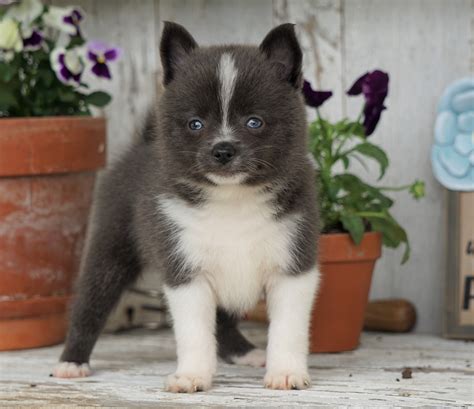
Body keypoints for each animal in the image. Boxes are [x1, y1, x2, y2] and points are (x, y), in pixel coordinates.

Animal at [51, 21, 320, 392]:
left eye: (255, 122)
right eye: (195, 124)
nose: (223, 150)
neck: (232, 199)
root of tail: (142, 145)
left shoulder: (293, 264)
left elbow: (288, 329)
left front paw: (285, 372)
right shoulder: (185, 269)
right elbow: (194, 332)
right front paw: (192, 375)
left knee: (223, 320)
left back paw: (243, 352)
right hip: (111, 247)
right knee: (91, 302)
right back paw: (72, 362)